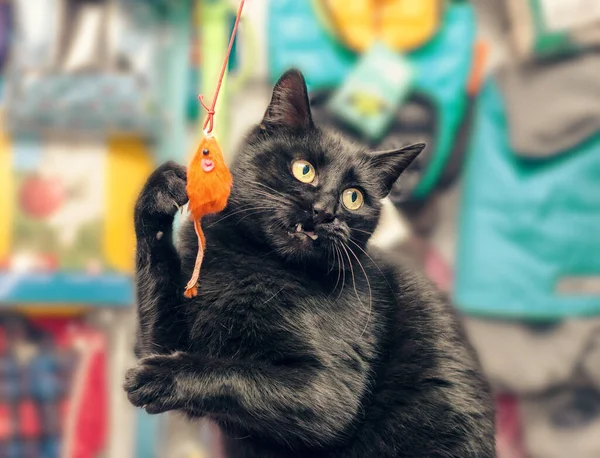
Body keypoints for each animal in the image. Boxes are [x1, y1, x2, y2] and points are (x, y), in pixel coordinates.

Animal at [124, 70, 494, 456]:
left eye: (353, 197)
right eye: (303, 169)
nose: (325, 211)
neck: (258, 264)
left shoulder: (326, 393)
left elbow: (233, 374)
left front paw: (158, 377)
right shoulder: (161, 339)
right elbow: (156, 292)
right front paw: (164, 186)